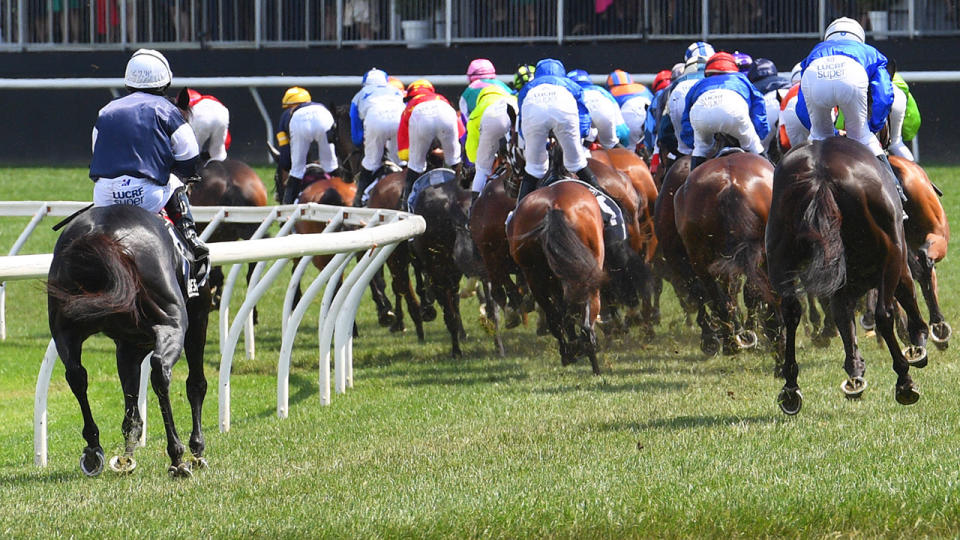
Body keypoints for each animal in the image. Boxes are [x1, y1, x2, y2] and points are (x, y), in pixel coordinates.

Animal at [47, 204, 210, 476]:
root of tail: (99, 234)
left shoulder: (128, 347)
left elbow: (131, 406)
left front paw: (127, 457)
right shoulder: (198, 318)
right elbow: (196, 384)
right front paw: (197, 450)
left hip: (64, 330)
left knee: (76, 375)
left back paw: (93, 448)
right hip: (172, 322)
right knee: (160, 372)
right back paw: (177, 456)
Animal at [506, 181, 604, 372]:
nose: (510, 187)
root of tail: (554, 206)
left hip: (537, 278)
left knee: (558, 318)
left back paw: (571, 352)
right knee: (584, 317)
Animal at [764, 138, 928, 414]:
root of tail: (820, 175)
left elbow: (842, 316)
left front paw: (855, 372)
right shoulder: (897, 255)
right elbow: (906, 292)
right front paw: (919, 342)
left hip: (779, 253)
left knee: (791, 311)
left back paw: (790, 388)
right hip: (891, 253)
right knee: (884, 314)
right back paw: (904, 381)